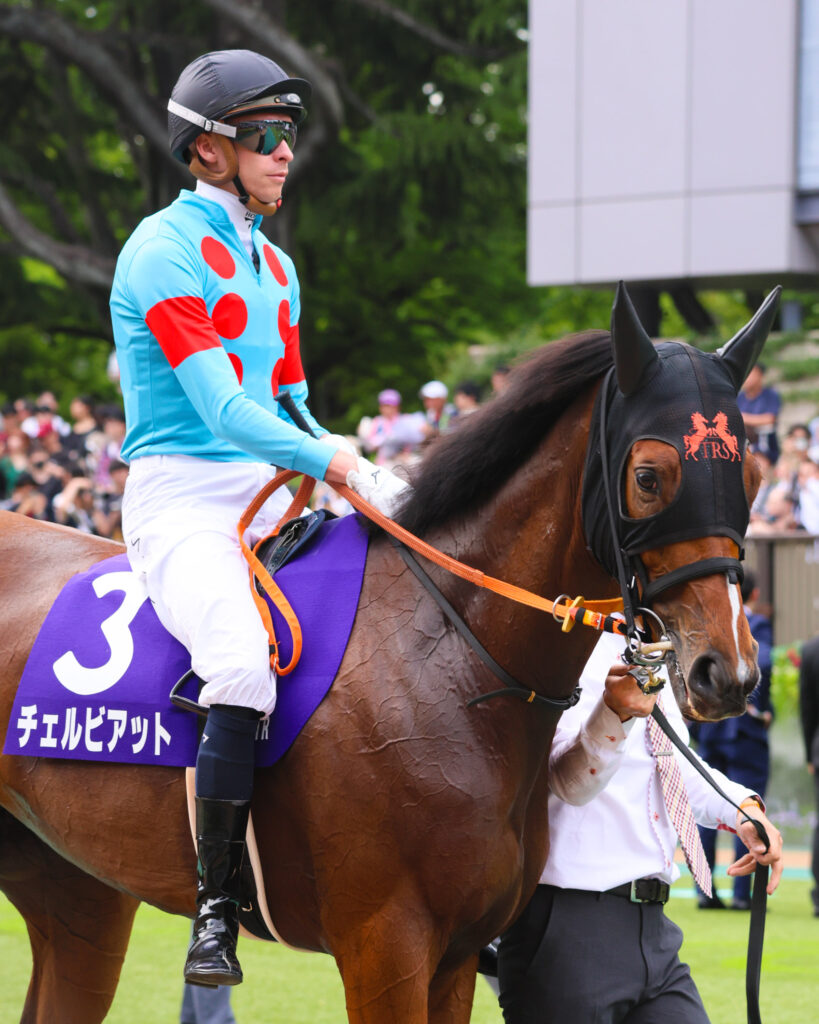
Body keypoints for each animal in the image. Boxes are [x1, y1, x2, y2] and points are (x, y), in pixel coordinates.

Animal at [0, 284, 778, 1023]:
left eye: (752, 477)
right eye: (649, 476)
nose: (729, 672)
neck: (447, 660)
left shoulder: (457, 954)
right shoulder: (385, 942)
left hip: (80, 895)